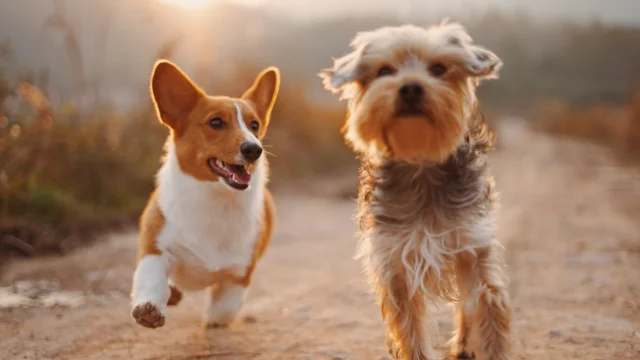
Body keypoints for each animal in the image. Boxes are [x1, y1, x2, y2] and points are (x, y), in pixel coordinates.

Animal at [131, 59, 280, 330]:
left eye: (254, 125)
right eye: (216, 123)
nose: (254, 149)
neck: (215, 199)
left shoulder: (239, 275)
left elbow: (224, 308)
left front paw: (213, 319)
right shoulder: (156, 248)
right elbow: (151, 279)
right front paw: (149, 309)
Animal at [320, 20, 516, 360]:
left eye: (438, 68)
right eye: (385, 70)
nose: (411, 87)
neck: (421, 163)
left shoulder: (472, 244)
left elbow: (487, 303)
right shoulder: (396, 260)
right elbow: (409, 327)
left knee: (466, 306)